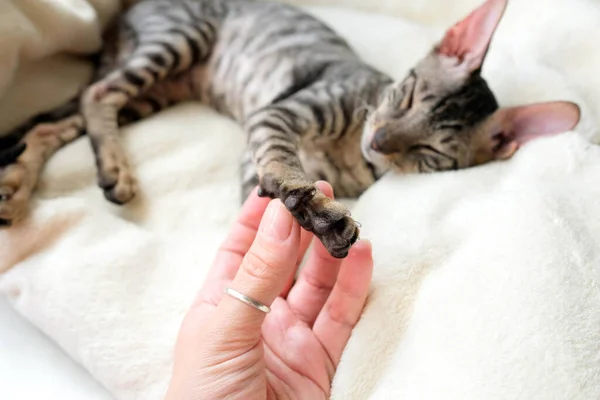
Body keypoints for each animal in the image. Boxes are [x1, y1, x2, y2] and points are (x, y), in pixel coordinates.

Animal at [0, 0, 580, 258]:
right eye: (407, 95)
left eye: (430, 153)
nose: (380, 141)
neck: (352, 155)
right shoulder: (275, 117)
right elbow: (276, 164)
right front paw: (306, 215)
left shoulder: (257, 143)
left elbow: (258, 192)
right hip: (182, 38)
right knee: (96, 94)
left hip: (153, 93)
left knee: (61, 121)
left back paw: (26, 185)